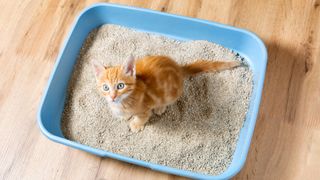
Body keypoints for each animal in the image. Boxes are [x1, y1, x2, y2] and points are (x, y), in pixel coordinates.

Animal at [94, 54, 239, 132]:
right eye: (105, 88)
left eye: (120, 86)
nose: (113, 97)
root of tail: (179, 68)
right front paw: (124, 116)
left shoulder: (145, 110)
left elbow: (141, 118)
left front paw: (136, 125)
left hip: (171, 94)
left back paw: (160, 108)